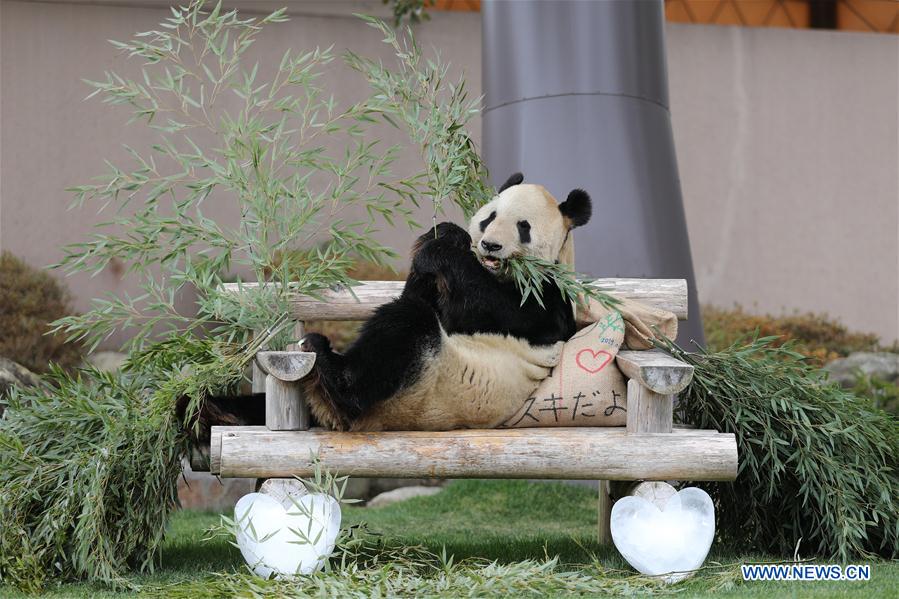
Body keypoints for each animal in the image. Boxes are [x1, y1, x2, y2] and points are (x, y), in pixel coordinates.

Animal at [296, 173, 596, 432]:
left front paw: (437, 250)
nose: (491, 245)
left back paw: (333, 375)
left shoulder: (549, 295)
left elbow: (516, 313)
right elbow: (427, 293)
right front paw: (445, 233)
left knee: (407, 324)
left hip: (425, 390)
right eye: (490, 217)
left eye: (524, 227)